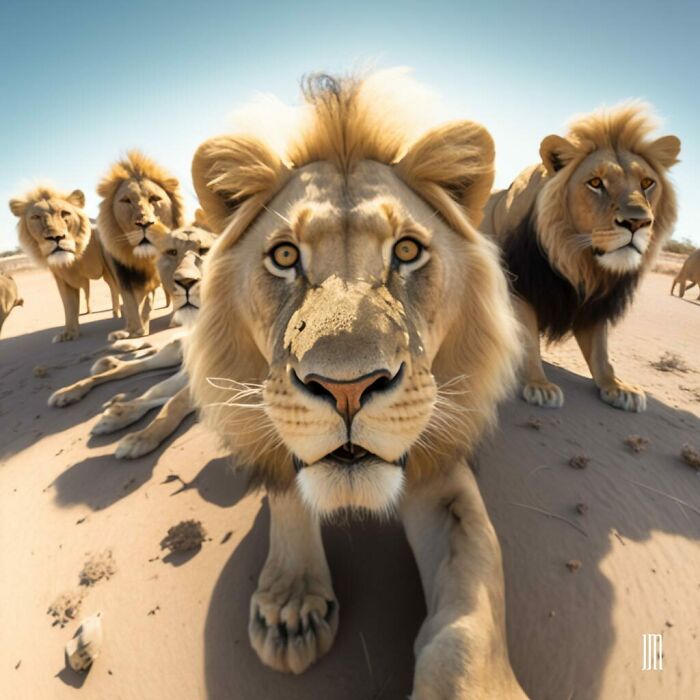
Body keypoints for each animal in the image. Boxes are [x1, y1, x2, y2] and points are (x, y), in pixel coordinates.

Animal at [9, 186, 120, 342]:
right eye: (36, 217)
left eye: (65, 213)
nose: (56, 237)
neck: (76, 257)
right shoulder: (63, 279)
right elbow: (69, 306)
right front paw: (69, 334)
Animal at [97, 150, 186, 340]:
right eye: (126, 200)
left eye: (154, 198)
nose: (144, 223)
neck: (143, 258)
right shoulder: (122, 273)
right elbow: (131, 302)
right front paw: (133, 330)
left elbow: (152, 300)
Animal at [186, 71, 527, 698]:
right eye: (285, 256)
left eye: (407, 250)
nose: (347, 389)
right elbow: (287, 489)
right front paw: (291, 608)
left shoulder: (440, 472)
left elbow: (469, 616)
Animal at [482, 103, 680, 412]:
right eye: (596, 183)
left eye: (647, 183)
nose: (637, 222)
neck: (577, 259)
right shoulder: (520, 288)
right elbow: (528, 340)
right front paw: (539, 384)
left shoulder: (596, 301)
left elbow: (601, 351)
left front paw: (617, 387)